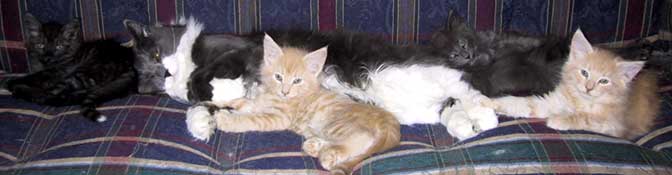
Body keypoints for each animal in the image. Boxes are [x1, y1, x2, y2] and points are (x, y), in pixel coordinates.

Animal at [6, 13, 137, 122]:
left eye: (58, 46)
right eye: (41, 45)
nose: (48, 57)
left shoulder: (58, 72)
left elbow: (34, 77)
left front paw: (12, 82)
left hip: (84, 72)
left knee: (49, 96)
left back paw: (20, 90)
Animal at [193, 33, 400, 174]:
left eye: (297, 81)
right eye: (278, 77)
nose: (285, 91)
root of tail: (389, 121)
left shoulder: (278, 117)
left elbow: (250, 119)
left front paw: (226, 120)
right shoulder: (258, 102)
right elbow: (244, 103)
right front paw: (220, 101)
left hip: (336, 123)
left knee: (363, 138)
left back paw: (328, 154)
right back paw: (316, 145)